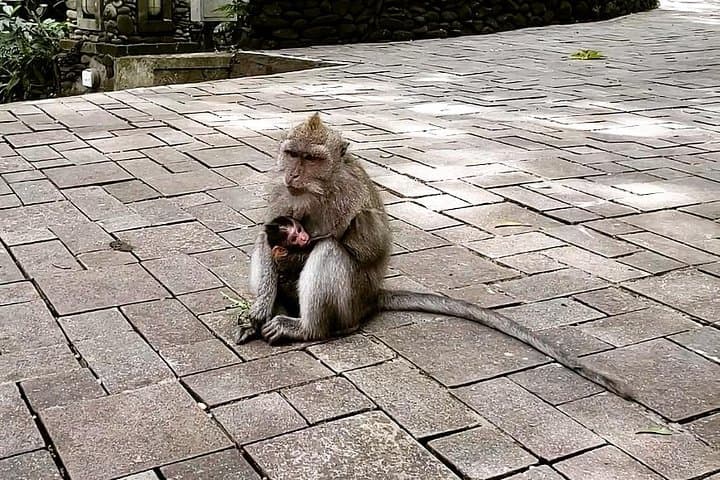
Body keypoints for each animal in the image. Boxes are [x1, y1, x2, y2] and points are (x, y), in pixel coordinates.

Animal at [235, 113, 633, 400]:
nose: (294, 174)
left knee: (331, 251)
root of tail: (372, 297)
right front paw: (258, 312)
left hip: (352, 300)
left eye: (311, 158)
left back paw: (309, 328)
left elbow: (372, 244)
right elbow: (266, 233)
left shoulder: (352, 192)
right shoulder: (279, 193)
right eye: (292, 154)